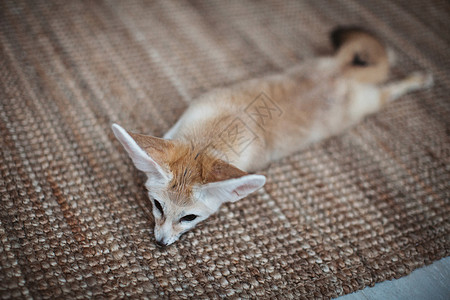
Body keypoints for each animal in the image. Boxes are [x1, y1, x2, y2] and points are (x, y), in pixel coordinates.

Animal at [111, 27, 432, 246]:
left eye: (189, 218)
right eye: (157, 206)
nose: (160, 244)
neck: (215, 132)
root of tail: (340, 75)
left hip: (371, 105)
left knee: (391, 85)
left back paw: (418, 78)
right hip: (324, 64)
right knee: (372, 57)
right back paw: (391, 55)